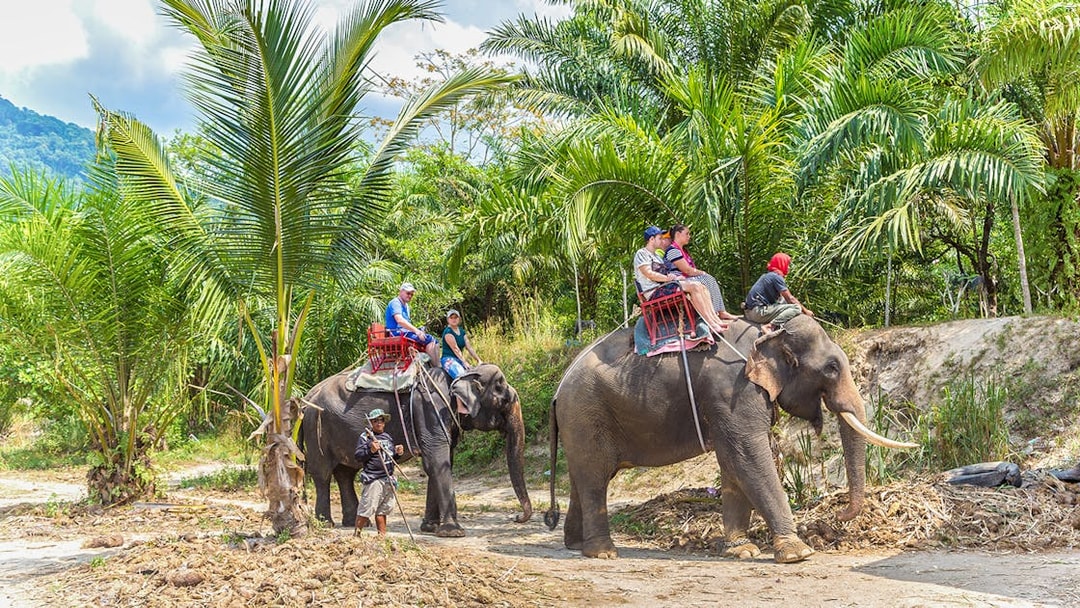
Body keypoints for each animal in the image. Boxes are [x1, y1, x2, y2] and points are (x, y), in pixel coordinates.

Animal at [300, 363, 532, 536]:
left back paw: (355, 522)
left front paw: (430, 527)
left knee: (345, 473)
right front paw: (453, 532)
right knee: (323, 475)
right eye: (505, 400)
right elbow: (437, 461)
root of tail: (307, 397)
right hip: (316, 429)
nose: (516, 517)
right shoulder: (430, 409)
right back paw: (327, 523)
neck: (460, 375)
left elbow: (442, 463)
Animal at [544, 315, 913, 561]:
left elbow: (732, 463)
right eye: (832, 368)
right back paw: (603, 553)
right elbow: (747, 455)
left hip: (582, 420)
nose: (838, 516)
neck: (767, 335)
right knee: (595, 477)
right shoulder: (734, 391)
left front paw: (743, 551)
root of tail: (558, 388)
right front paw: (798, 553)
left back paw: (576, 545)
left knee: (583, 477)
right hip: (586, 413)